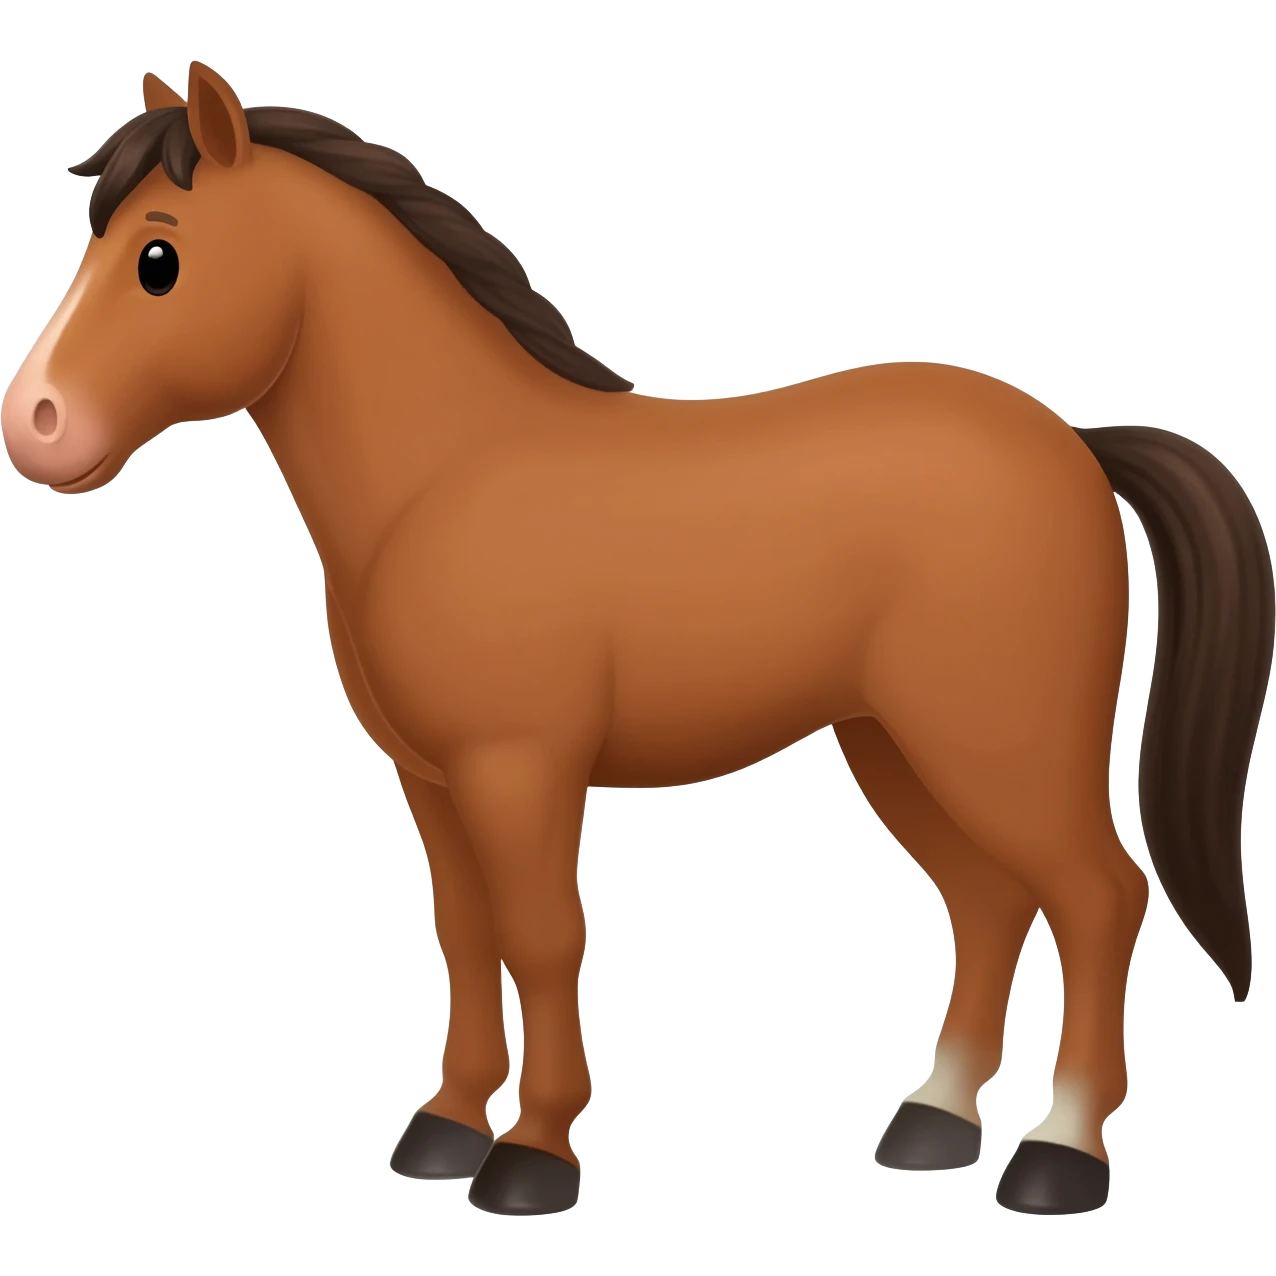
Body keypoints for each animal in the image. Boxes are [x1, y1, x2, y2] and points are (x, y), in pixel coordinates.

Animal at [2, 61, 1269, 1218]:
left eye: (157, 259)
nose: (35, 423)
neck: (444, 475)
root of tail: (1077, 444)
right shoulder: (432, 779)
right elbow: (466, 937)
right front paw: (447, 1128)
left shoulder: (519, 769)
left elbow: (542, 937)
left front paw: (532, 1155)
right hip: (896, 744)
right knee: (991, 901)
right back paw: (932, 1121)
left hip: (996, 746)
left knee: (1098, 894)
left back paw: (1058, 1155)